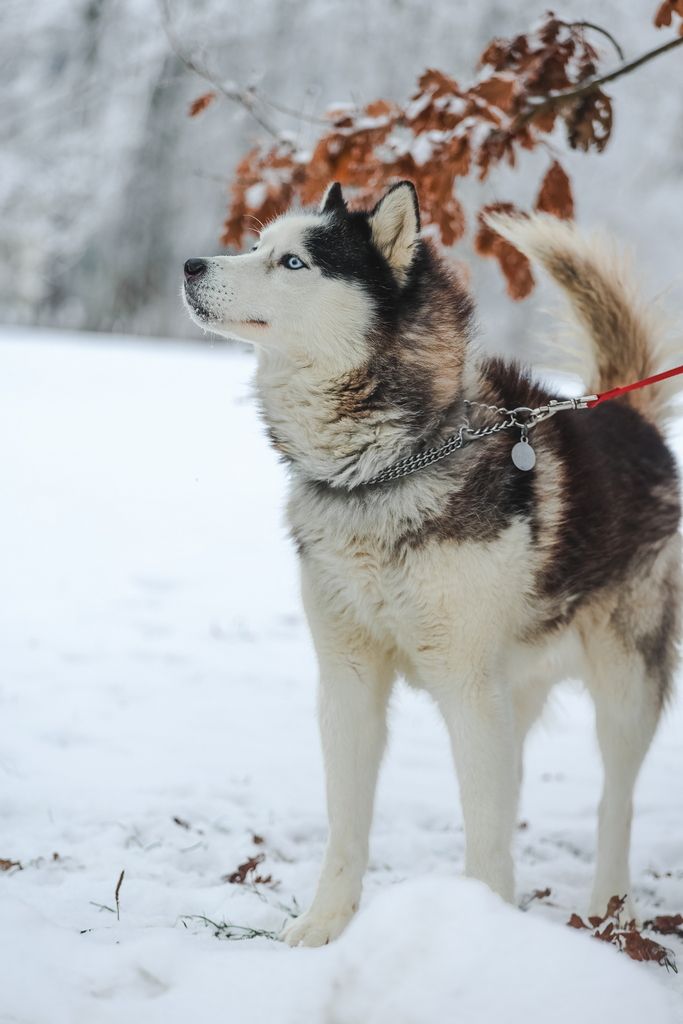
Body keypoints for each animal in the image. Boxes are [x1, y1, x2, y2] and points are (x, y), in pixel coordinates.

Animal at [183, 181, 681, 947]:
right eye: (257, 243)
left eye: (293, 261)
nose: (189, 266)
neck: (377, 473)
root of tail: (630, 416)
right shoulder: (349, 678)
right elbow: (349, 823)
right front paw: (323, 927)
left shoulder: (466, 686)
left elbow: (485, 833)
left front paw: (481, 936)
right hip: (514, 691)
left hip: (622, 685)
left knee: (613, 801)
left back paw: (608, 909)